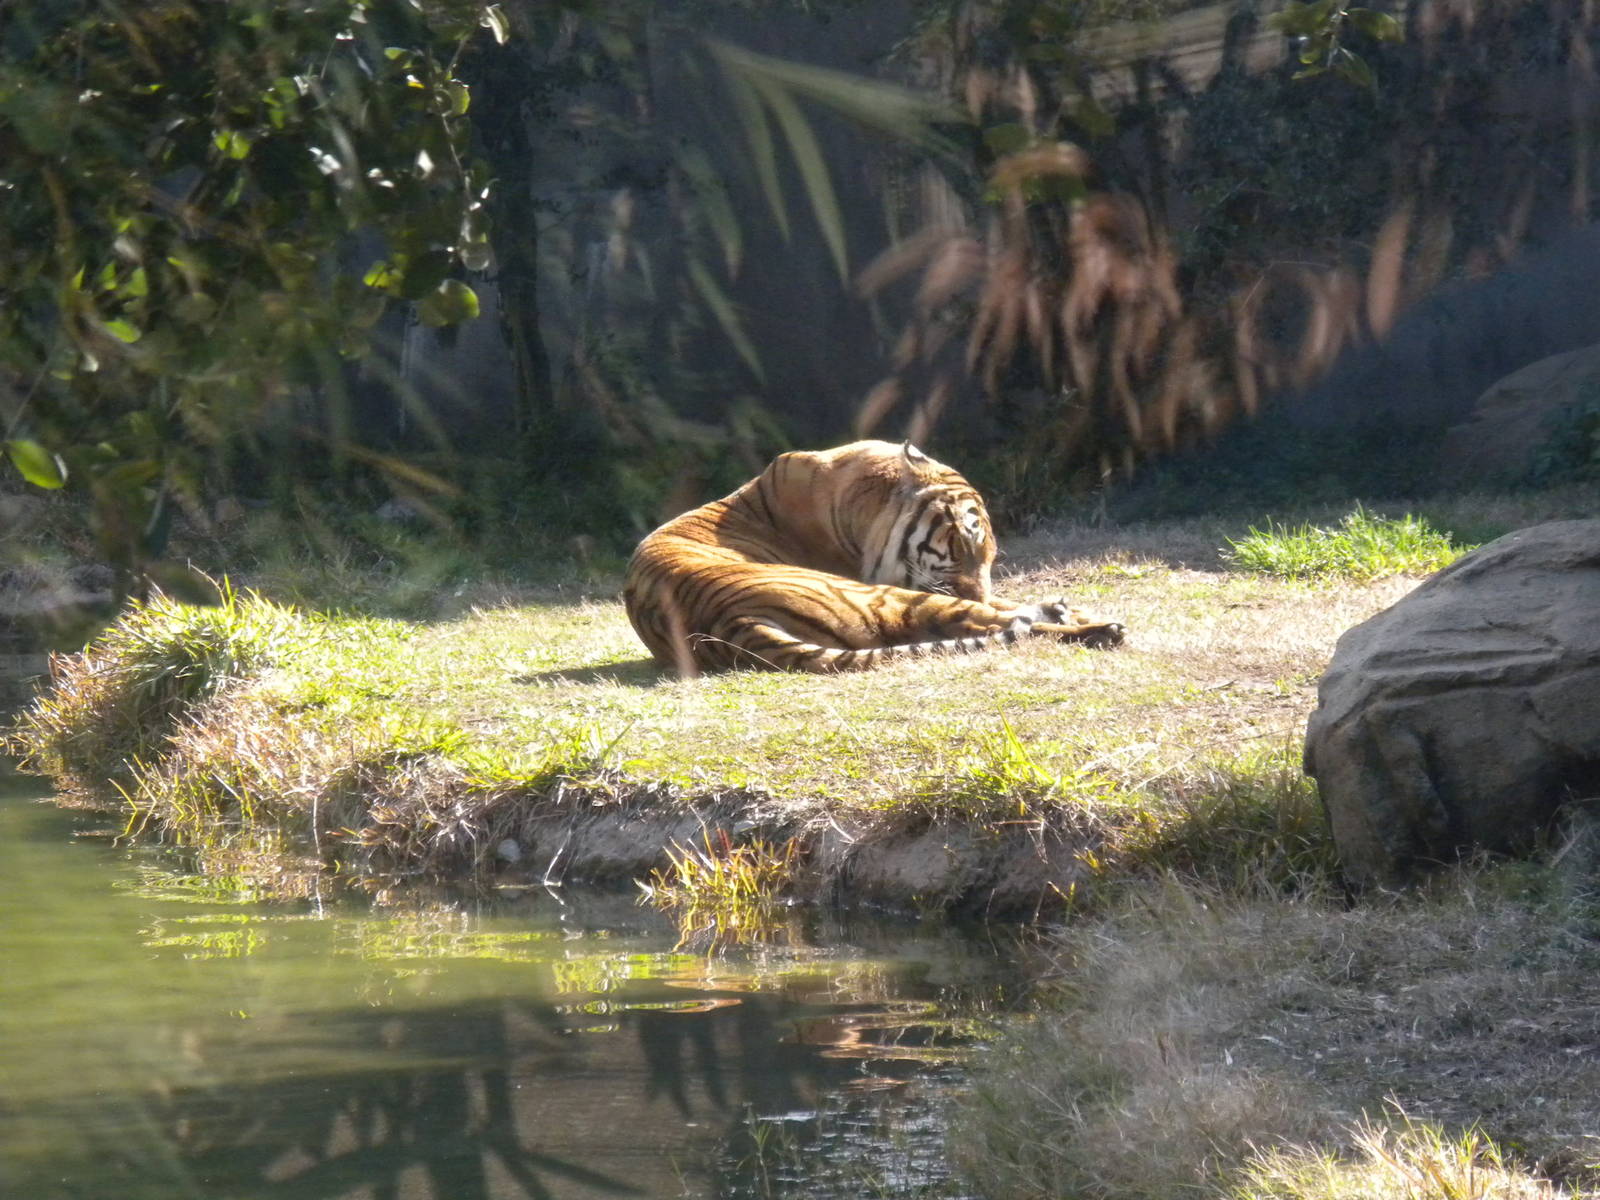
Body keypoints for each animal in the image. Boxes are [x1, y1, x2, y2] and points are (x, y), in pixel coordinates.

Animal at [622, 440, 1125, 674]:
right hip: (884, 598)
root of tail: (729, 623)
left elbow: (1002, 600)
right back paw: (1100, 628)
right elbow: (998, 608)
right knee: (1004, 626)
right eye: (959, 549)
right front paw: (1075, 613)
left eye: (989, 558)